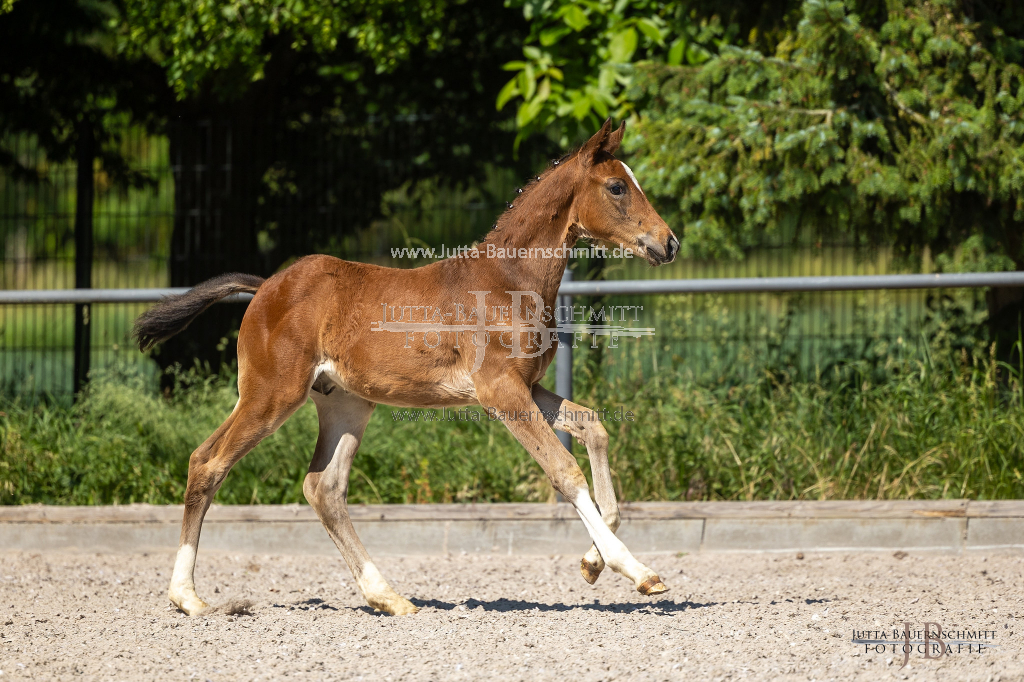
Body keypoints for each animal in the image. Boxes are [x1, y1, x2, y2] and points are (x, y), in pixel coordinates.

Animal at [136, 119, 679, 614]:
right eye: (617, 186)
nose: (669, 242)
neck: (507, 280)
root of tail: (266, 286)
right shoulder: (500, 392)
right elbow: (564, 471)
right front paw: (638, 571)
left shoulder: (524, 387)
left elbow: (594, 427)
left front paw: (592, 563)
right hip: (271, 394)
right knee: (208, 462)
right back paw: (189, 598)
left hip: (346, 405)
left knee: (323, 487)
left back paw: (388, 597)